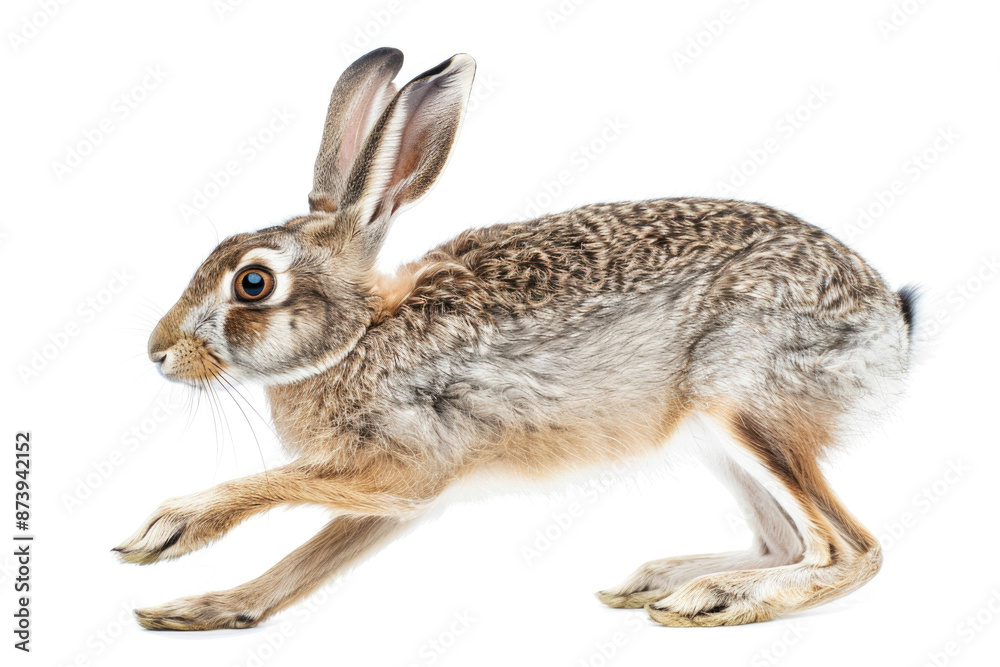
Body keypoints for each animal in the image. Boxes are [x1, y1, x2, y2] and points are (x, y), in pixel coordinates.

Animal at [115, 46, 916, 630]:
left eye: (252, 283)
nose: (157, 352)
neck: (361, 334)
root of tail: (890, 322)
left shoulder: (407, 469)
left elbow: (282, 487)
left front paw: (172, 526)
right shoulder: (400, 497)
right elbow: (309, 561)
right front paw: (202, 609)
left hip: (746, 402)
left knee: (851, 550)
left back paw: (718, 598)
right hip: (716, 435)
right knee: (787, 539)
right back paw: (658, 581)